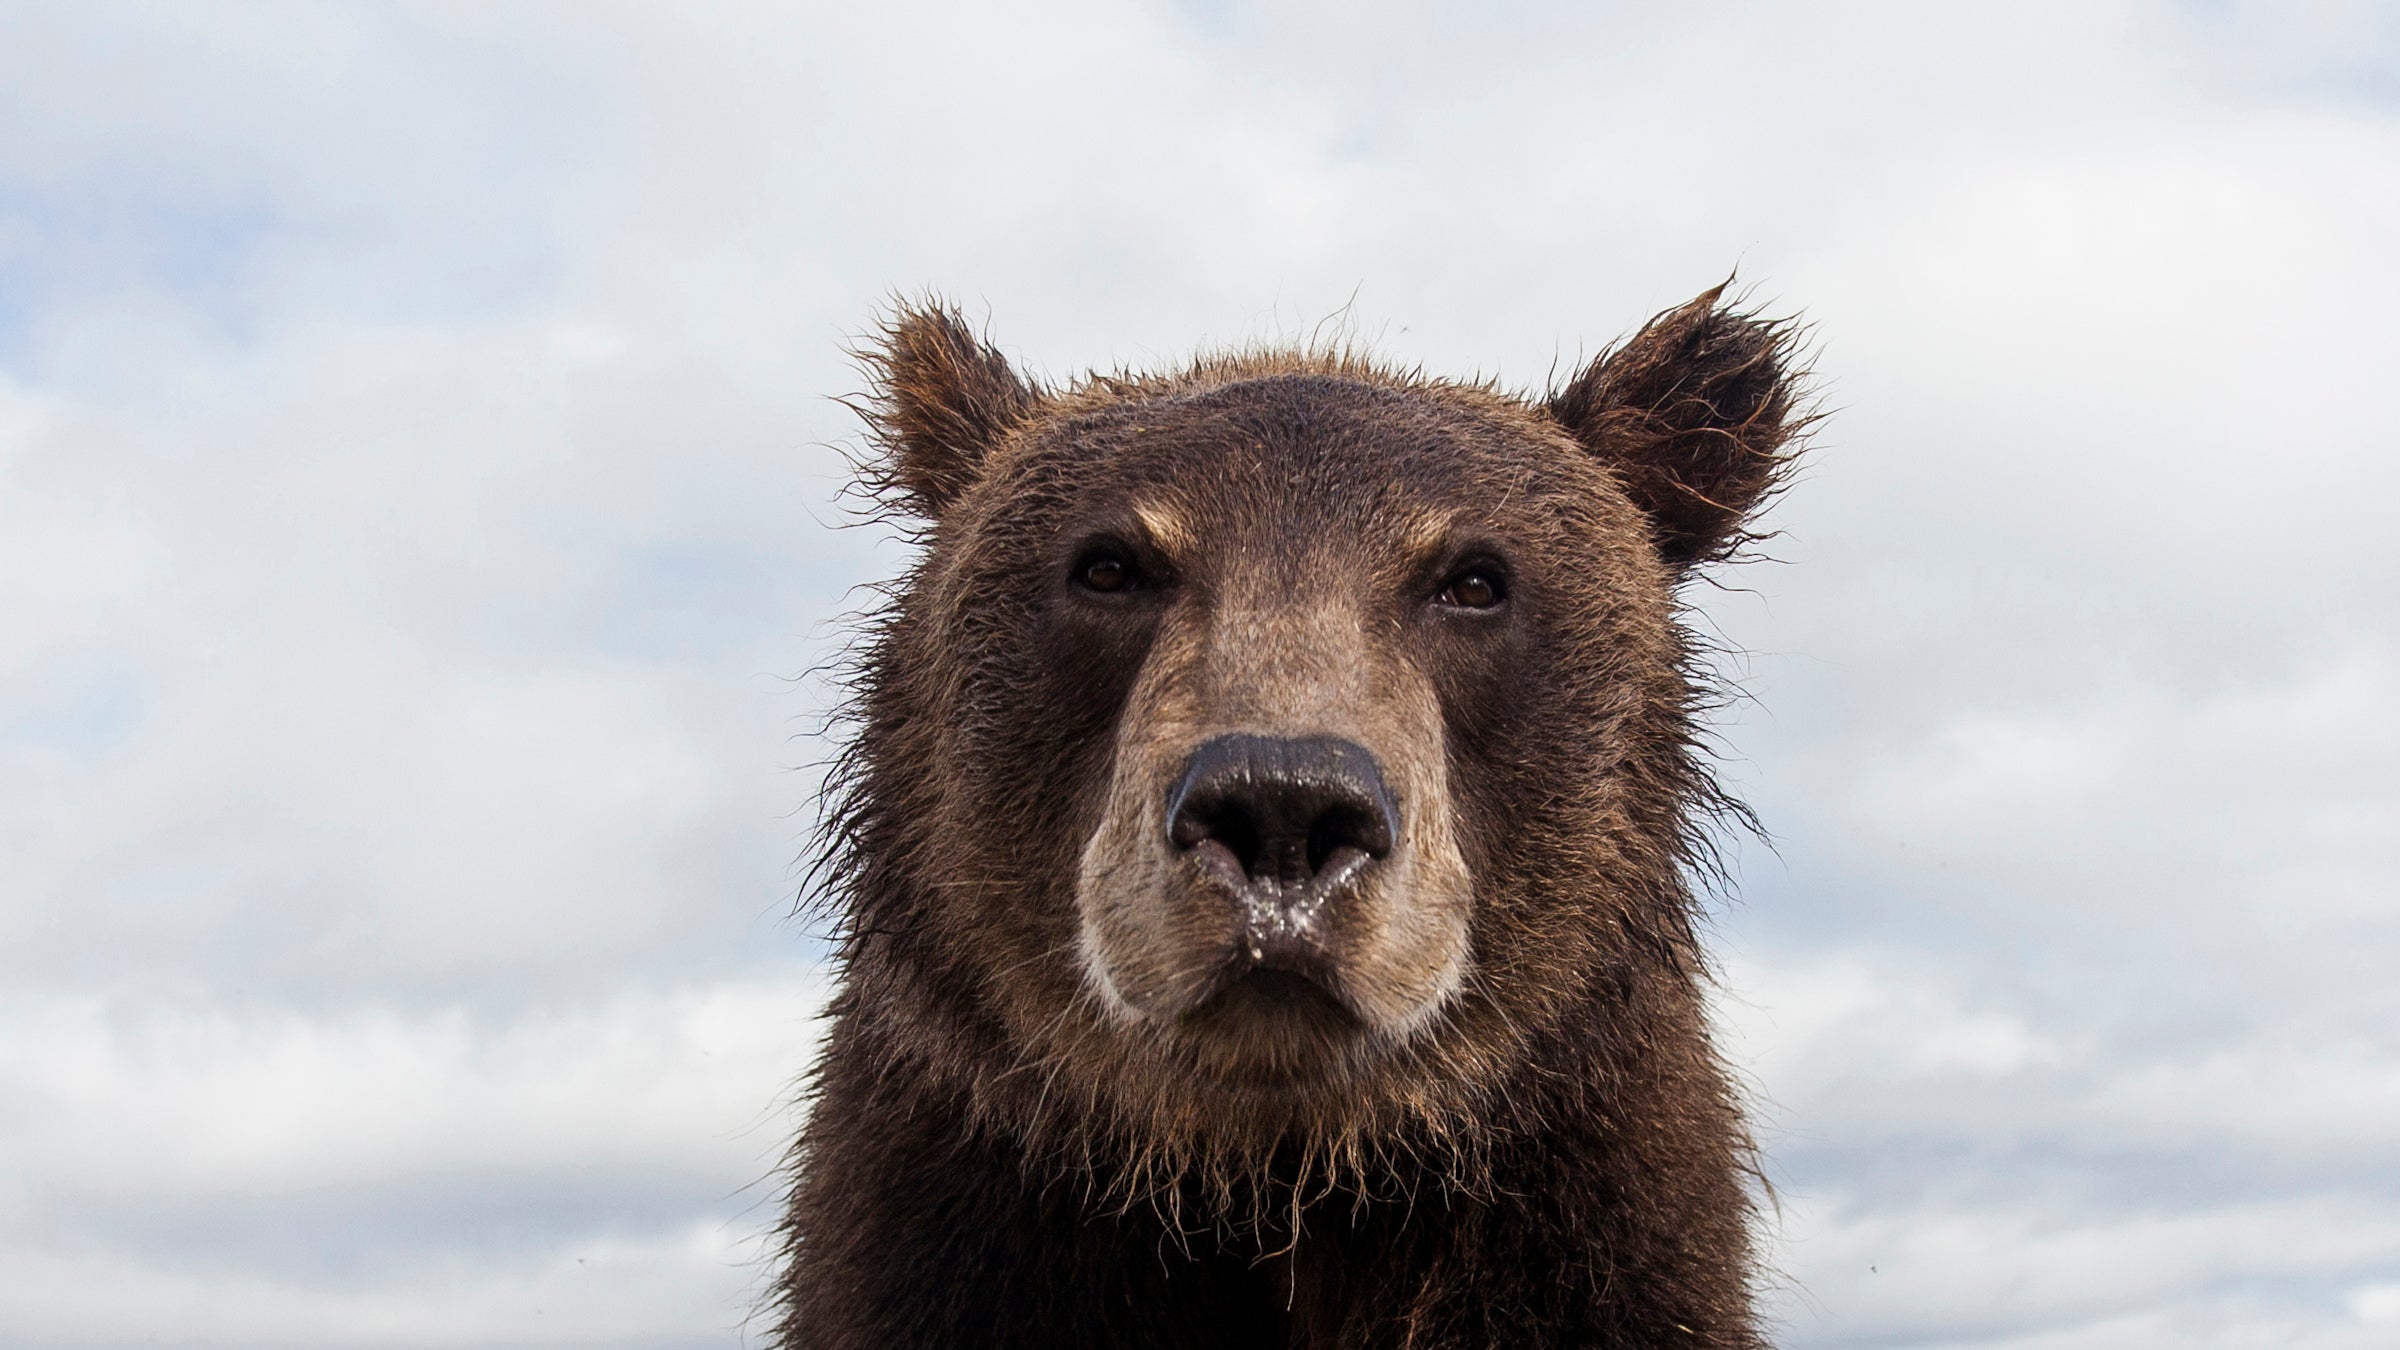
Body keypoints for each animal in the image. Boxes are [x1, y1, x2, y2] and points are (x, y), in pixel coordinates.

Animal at [775, 284, 1810, 1349]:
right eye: (1108, 565)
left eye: (1475, 579)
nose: (1280, 810)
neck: (1280, 1178)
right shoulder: (952, 1230)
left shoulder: (1593, 1237)